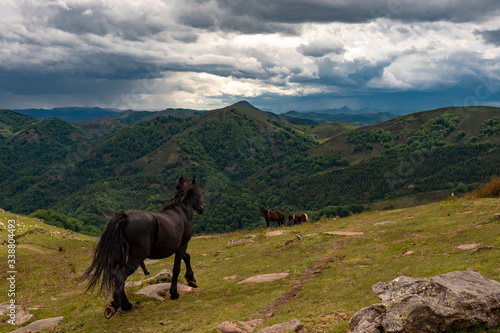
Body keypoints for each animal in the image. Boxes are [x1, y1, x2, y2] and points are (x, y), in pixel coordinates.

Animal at [81, 178, 204, 318]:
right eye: (199, 193)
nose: (202, 208)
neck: (181, 213)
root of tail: (125, 217)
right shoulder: (182, 245)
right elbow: (177, 268)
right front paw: (175, 293)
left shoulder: (178, 247)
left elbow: (187, 257)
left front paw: (191, 279)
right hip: (136, 257)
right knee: (121, 276)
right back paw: (117, 304)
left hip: (120, 256)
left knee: (116, 275)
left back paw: (125, 305)